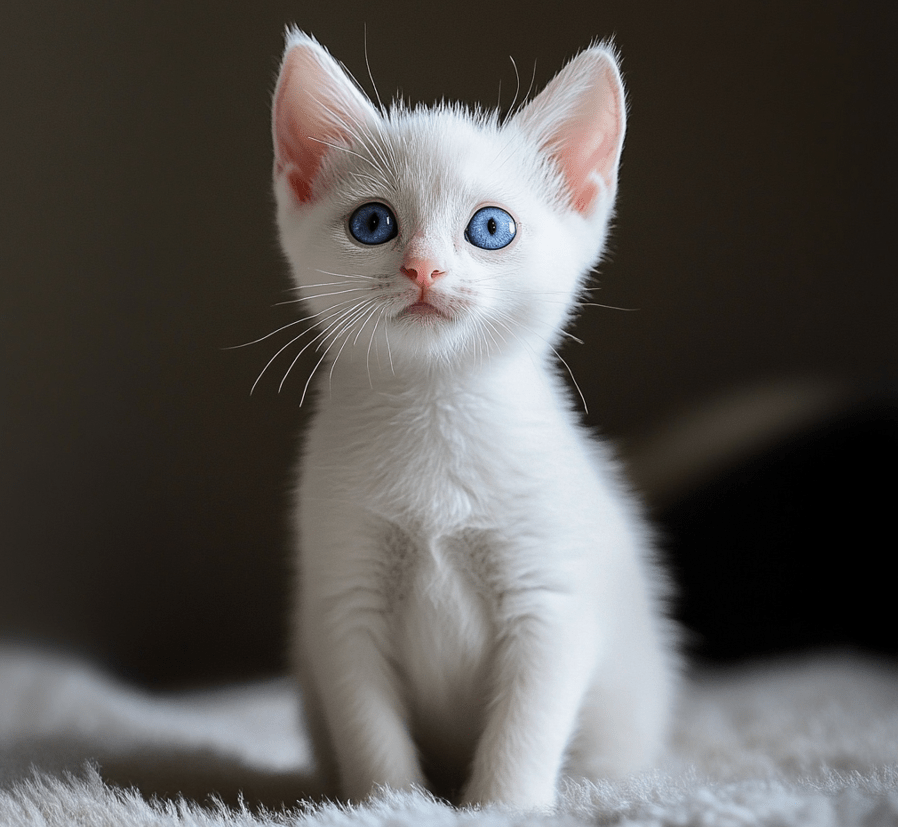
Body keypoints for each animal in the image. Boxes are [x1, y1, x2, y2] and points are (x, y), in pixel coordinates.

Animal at [270, 30, 676, 808]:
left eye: (491, 228)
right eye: (373, 223)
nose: (423, 269)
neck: (435, 407)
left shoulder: (551, 600)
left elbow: (524, 728)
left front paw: (502, 805)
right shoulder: (343, 600)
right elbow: (369, 727)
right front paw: (391, 806)